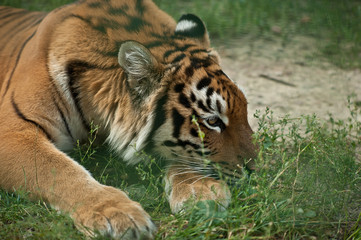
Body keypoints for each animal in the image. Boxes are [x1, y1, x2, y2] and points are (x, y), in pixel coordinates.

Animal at [0, 0, 256, 238]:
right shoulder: (12, 132)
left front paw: (202, 192)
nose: (255, 169)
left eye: (244, 110)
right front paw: (118, 215)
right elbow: (60, 170)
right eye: (212, 121)